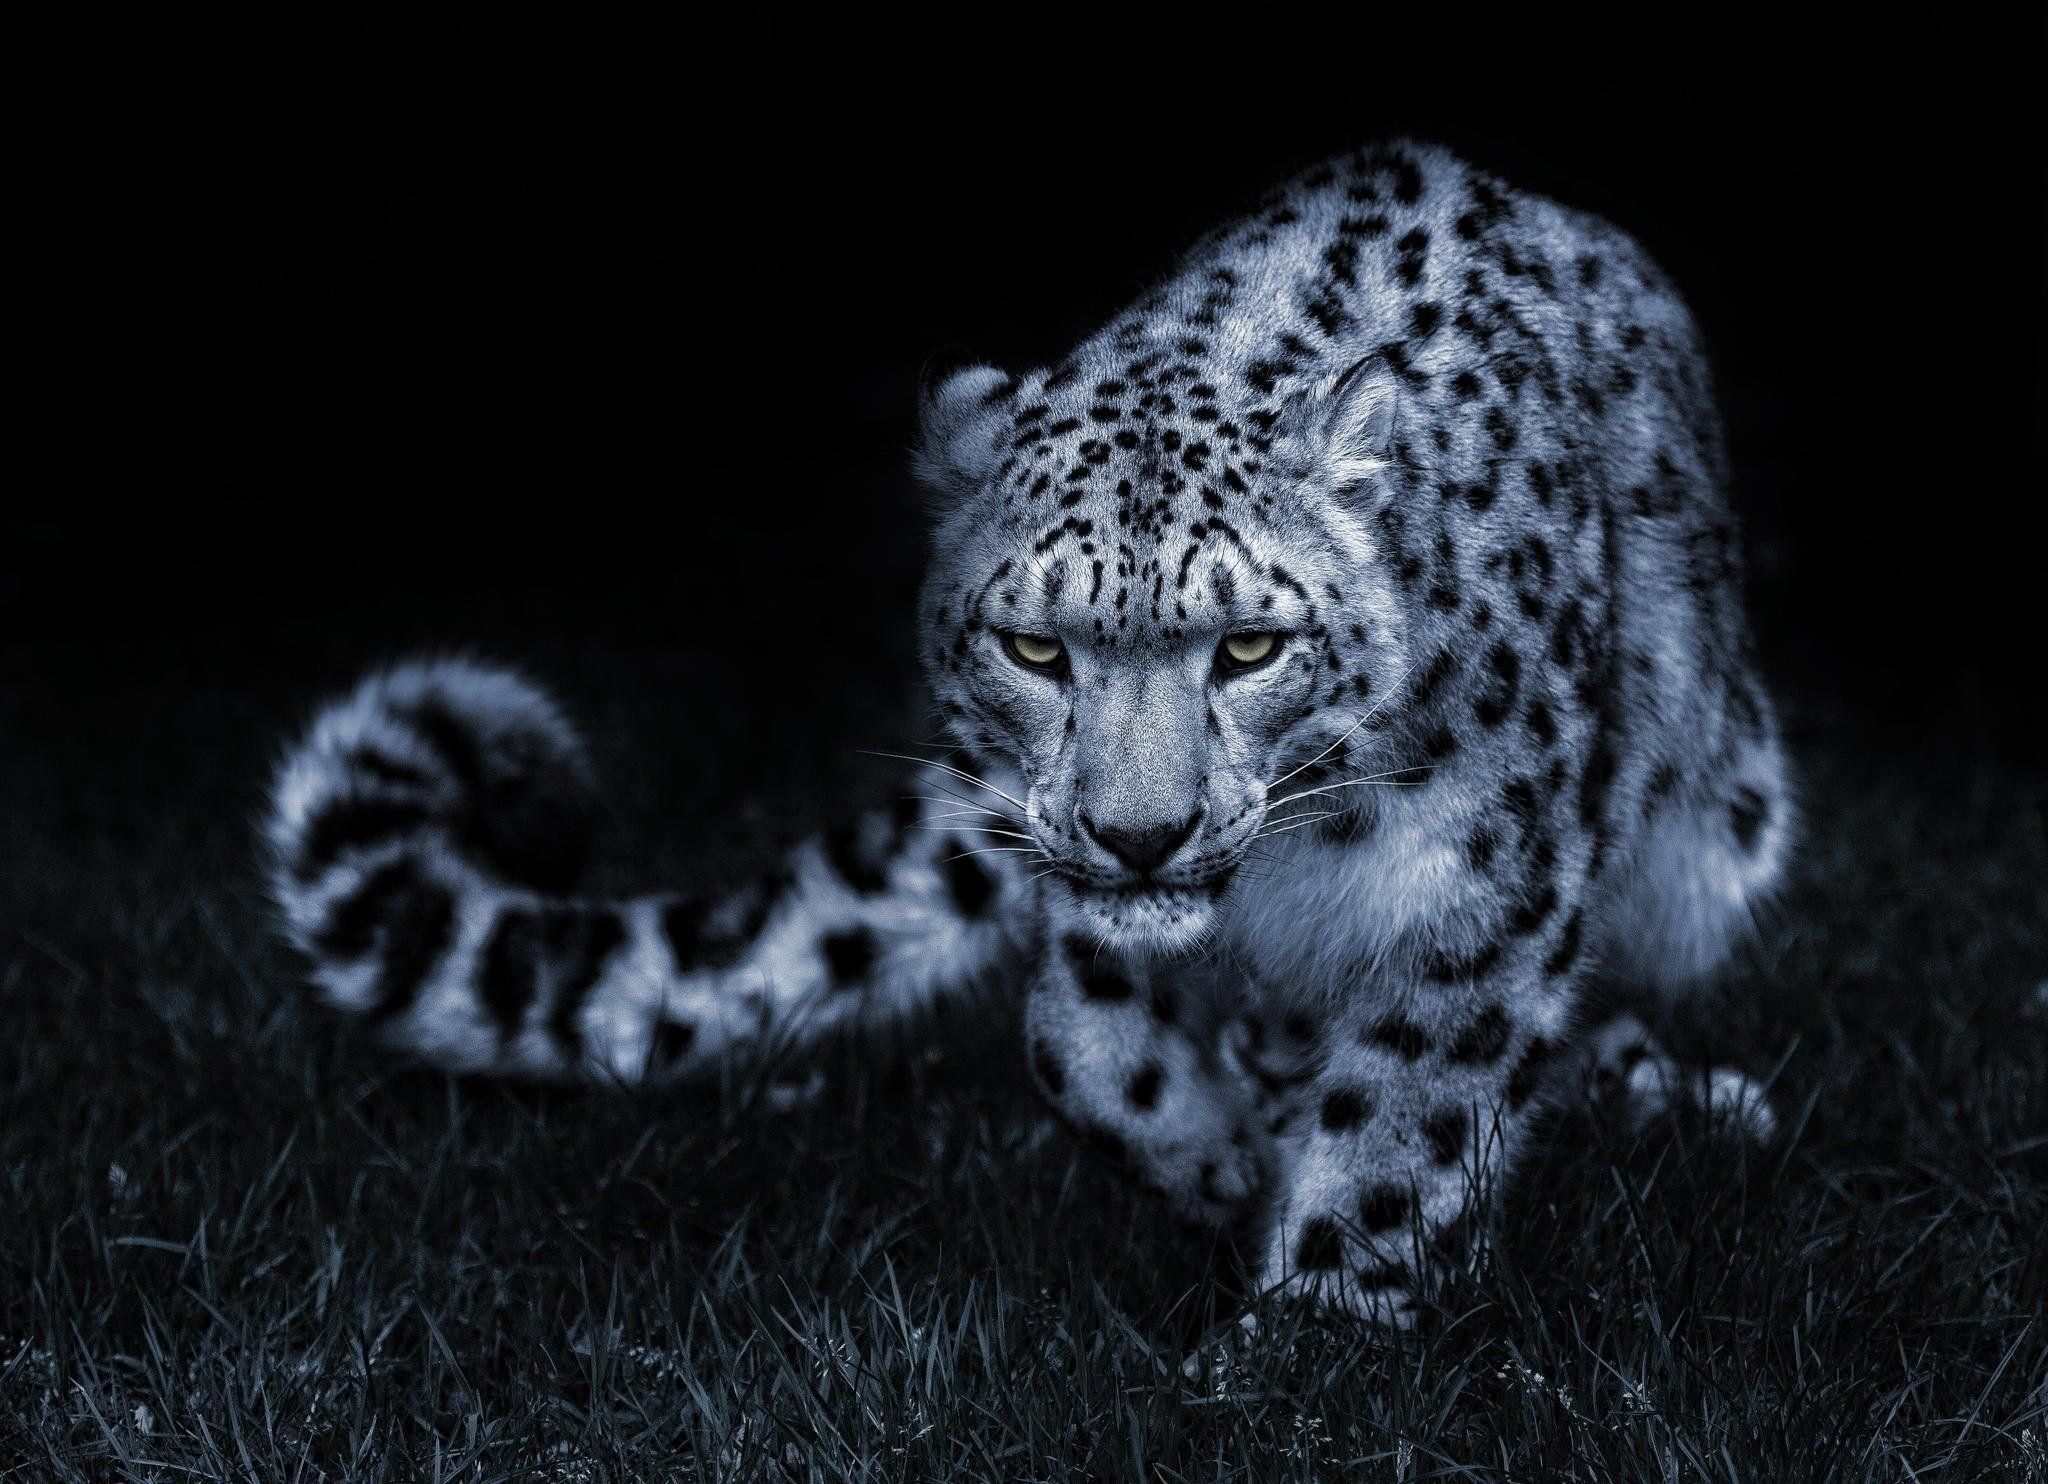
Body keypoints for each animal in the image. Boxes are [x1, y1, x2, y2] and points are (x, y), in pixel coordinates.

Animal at [264, 139, 1785, 1318]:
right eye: (1035, 646)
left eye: (1251, 645)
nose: (1141, 835)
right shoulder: (1071, 886)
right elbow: (1079, 1042)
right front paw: (1220, 1166)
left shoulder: (1483, 885)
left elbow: (1405, 1121)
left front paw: (1302, 1343)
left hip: (1718, 830)